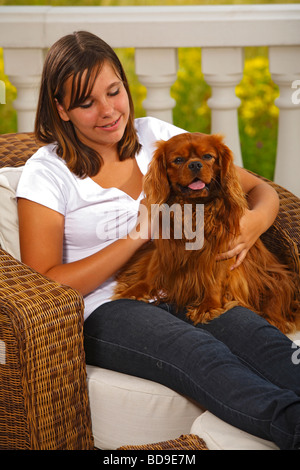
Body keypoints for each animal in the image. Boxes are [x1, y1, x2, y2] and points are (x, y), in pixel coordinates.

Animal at [113, 132, 300, 334]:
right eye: (178, 160)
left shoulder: (223, 251)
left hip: (277, 279)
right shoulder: (165, 249)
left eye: (208, 156)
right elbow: (153, 270)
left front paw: (208, 306)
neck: (195, 207)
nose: (195, 164)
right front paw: (135, 291)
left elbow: (215, 279)